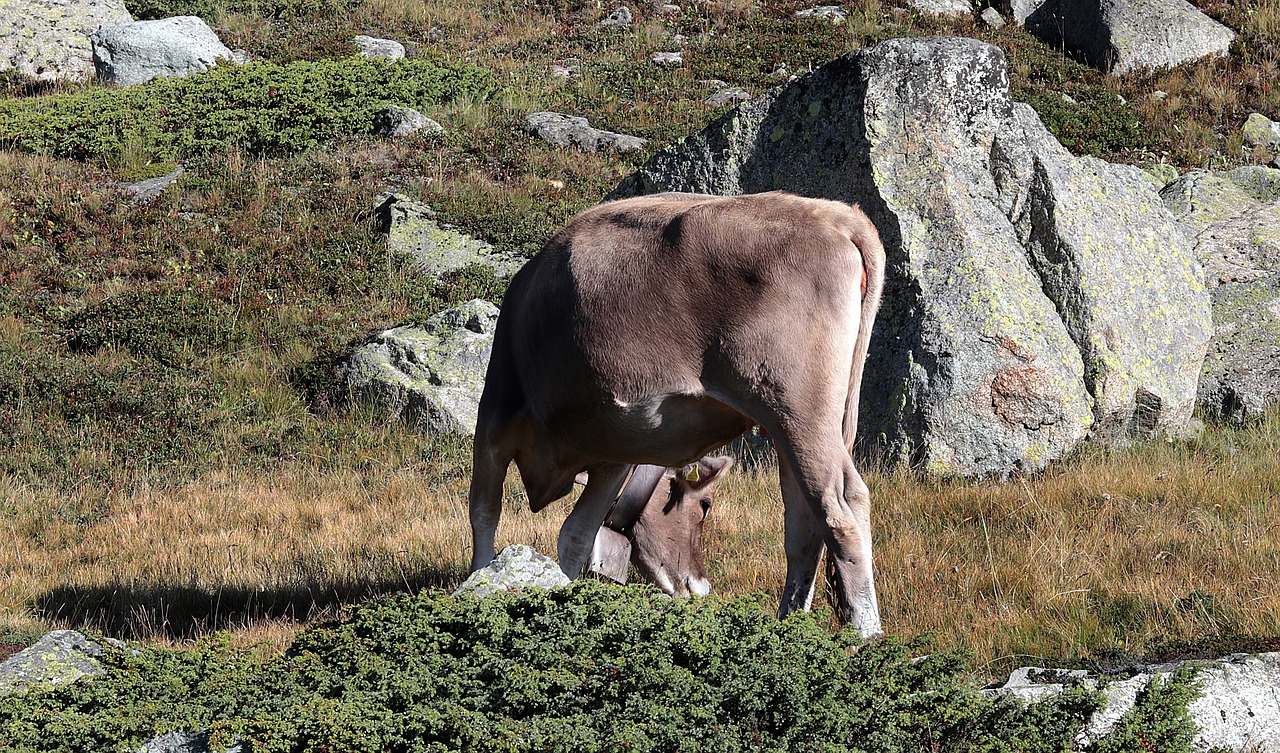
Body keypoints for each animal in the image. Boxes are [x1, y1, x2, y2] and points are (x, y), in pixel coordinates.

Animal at [471, 190, 890, 637]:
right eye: (704, 506)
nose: (700, 587)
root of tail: (836, 215)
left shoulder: (495, 413)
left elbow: (486, 514)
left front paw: (476, 585)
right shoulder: (613, 452)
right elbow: (571, 535)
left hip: (800, 411)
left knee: (841, 508)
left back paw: (864, 635)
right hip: (792, 426)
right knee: (803, 526)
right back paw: (788, 628)